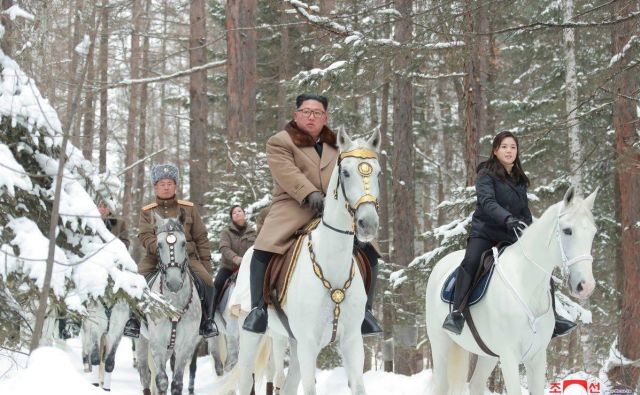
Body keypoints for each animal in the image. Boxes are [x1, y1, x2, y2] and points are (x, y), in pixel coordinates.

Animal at [137, 215, 200, 395]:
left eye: (184, 243)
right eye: (159, 245)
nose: (173, 283)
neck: (173, 304)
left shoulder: (186, 345)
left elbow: (177, 383)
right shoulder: (157, 342)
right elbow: (161, 380)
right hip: (142, 342)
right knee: (145, 374)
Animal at [424, 187, 600, 394]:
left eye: (593, 233)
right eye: (567, 231)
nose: (586, 286)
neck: (525, 285)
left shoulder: (537, 358)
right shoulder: (509, 357)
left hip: (488, 355)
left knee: (475, 384)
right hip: (440, 344)